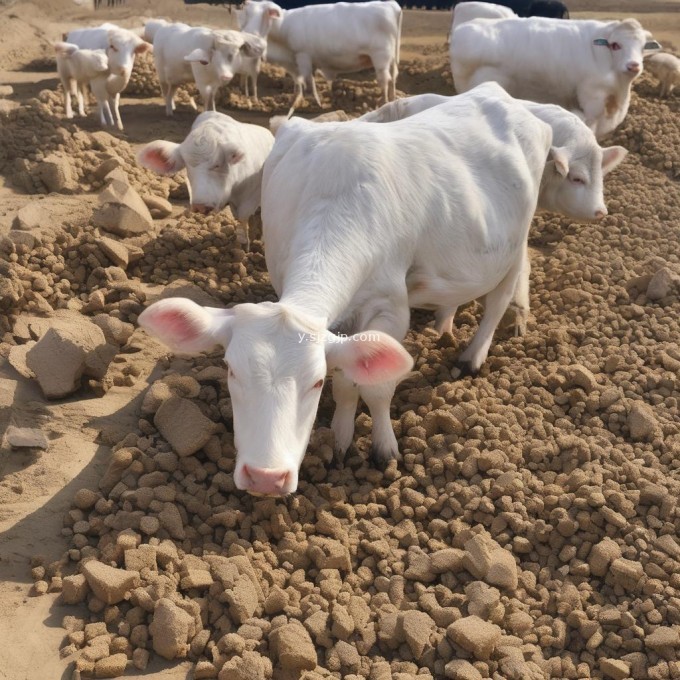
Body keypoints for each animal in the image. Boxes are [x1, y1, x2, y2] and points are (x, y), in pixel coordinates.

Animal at [137, 111, 274, 250]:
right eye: (186, 164)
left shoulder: (252, 195)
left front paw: (247, 248)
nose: (200, 205)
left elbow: (244, 218)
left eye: (217, 164)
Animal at [448, 16, 660, 138]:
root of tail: (463, 29)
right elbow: (591, 127)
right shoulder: (592, 98)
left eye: (643, 46)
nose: (633, 65)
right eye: (616, 45)